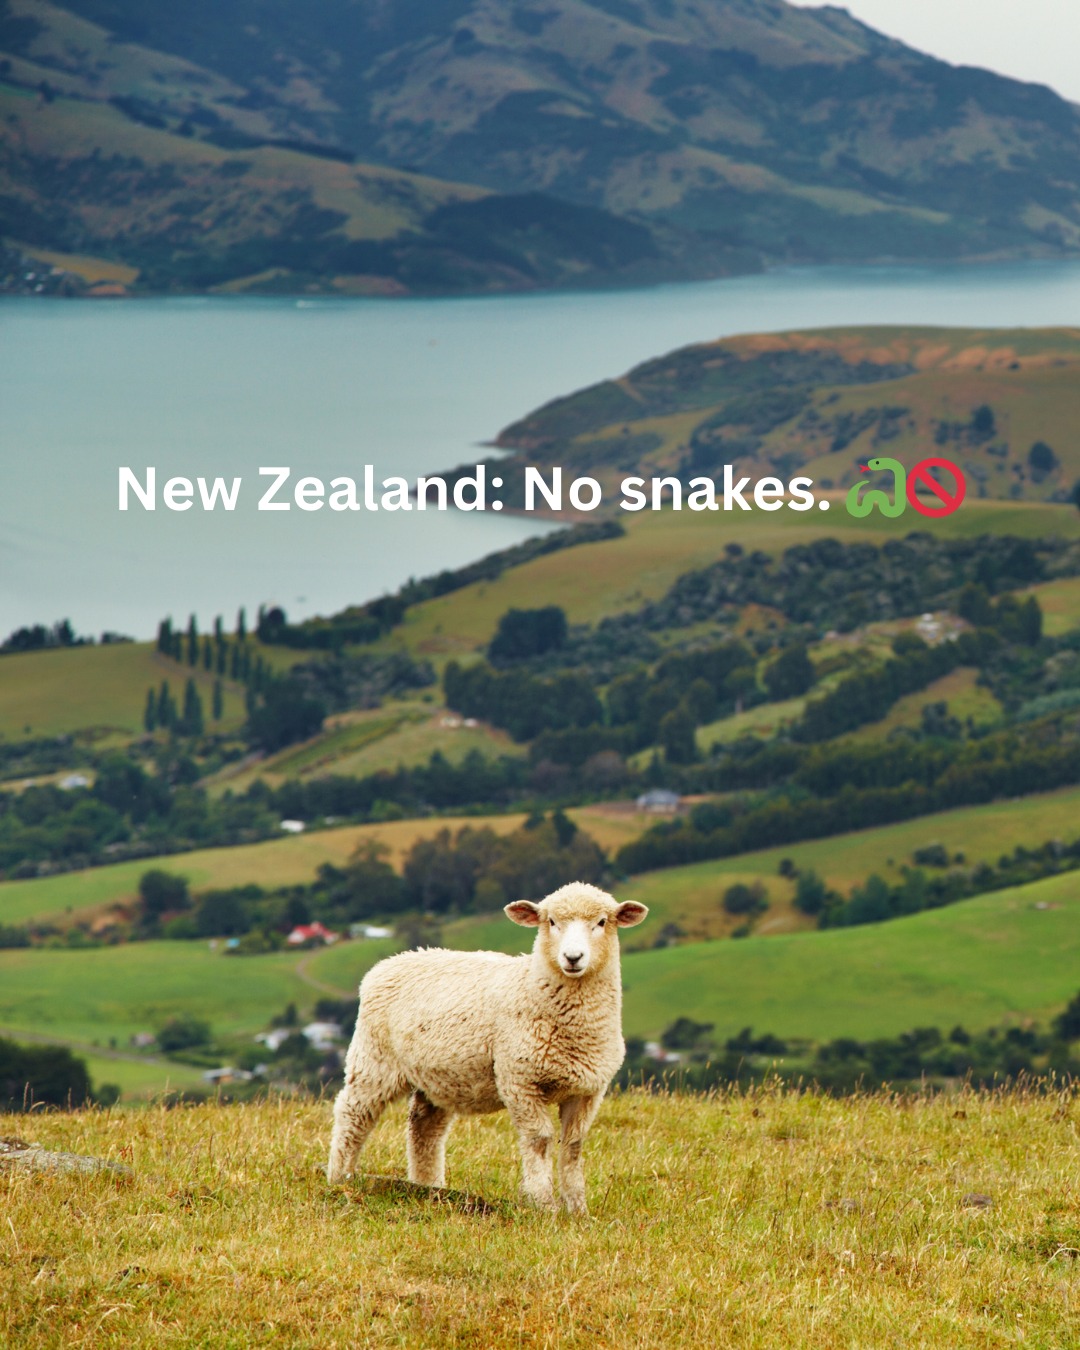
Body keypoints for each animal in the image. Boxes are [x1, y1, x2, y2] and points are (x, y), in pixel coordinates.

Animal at [326, 881, 648, 1213]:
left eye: (601, 922)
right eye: (551, 922)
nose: (573, 957)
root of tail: (391, 961)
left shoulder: (588, 1090)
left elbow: (573, 1146)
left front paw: (577, 1209)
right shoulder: (519, 1080)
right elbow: (539, 1140)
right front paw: (543, 1204)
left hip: (439, 1077)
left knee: (424, 1127)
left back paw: (429, 1187)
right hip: (374, 1059)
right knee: (353, 1114)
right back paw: (341, 1178)